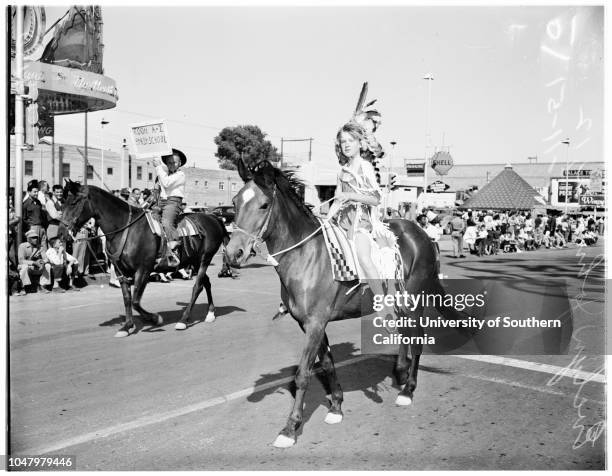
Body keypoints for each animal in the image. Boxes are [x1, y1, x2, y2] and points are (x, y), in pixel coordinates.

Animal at [61, 180, 232, 336]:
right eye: (63, 202)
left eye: (74, 202)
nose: (62, 231)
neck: (127, 229)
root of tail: (215, 218)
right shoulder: (121, 272)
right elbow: (127, 299)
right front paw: (127, 326)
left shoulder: (143, 270)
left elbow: (135, 301)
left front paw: (155, 319)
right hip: (195, 261)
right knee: (206, 283)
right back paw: (210, 313)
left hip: (204, 259)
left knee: (197, 287)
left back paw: (183, 320)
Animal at [225, 162, 468, 448]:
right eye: (234, 201)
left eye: (264, 205)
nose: (233, 253)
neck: (306, 255)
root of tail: (422, 235)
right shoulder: (311, 324)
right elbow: (327, 364)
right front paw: (336, 407)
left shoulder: (315, 323)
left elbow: (303, 374)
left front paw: (291, 427)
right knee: (405, 336)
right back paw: (400, 372)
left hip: (414, 301)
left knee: (417, 341)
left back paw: (408, 390)